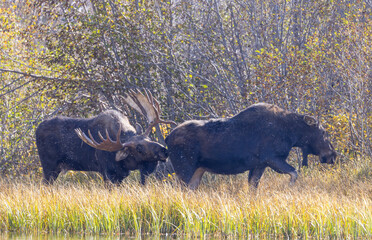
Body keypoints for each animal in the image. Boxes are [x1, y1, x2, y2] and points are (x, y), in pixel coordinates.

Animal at [35, 89, 174, 185]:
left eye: (149, 139)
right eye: (139, 148)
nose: (164, 151)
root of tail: (37, 129)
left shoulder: (121, 175)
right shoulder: (107, 173)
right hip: (49, 166)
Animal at [166, 103, 338, 189]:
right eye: (323, 132)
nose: (332, 155)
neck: (292, 134)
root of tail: (167, 139)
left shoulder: (260, 164)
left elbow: (253, 187)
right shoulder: (272, 158)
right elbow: (294, 173)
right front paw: (289, 189)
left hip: (198, 170)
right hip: (184, 167)